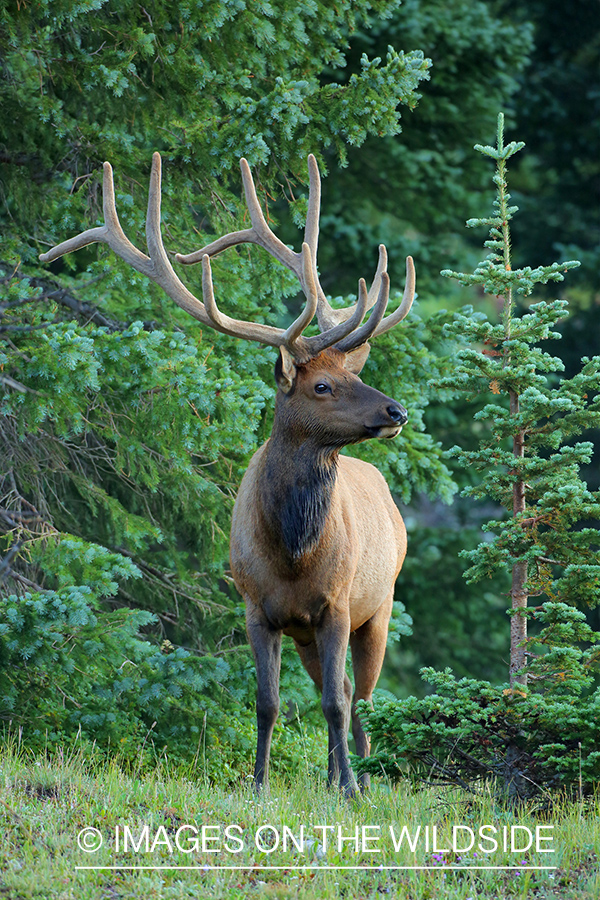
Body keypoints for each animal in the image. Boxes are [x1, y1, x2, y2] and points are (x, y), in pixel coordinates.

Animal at [39, 151, 414, 800]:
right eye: (323, 385)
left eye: (352, 374)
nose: (395, 412)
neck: (292, 552)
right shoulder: (257, 606)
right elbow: (267, 703)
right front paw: (259, 784)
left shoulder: (338, 604)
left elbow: (335, 705)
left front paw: (346, 788)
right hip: (315, 631)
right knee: (344, 692)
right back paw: (341, 776)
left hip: (380, 604)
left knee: (361, 698)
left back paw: (361, 780)